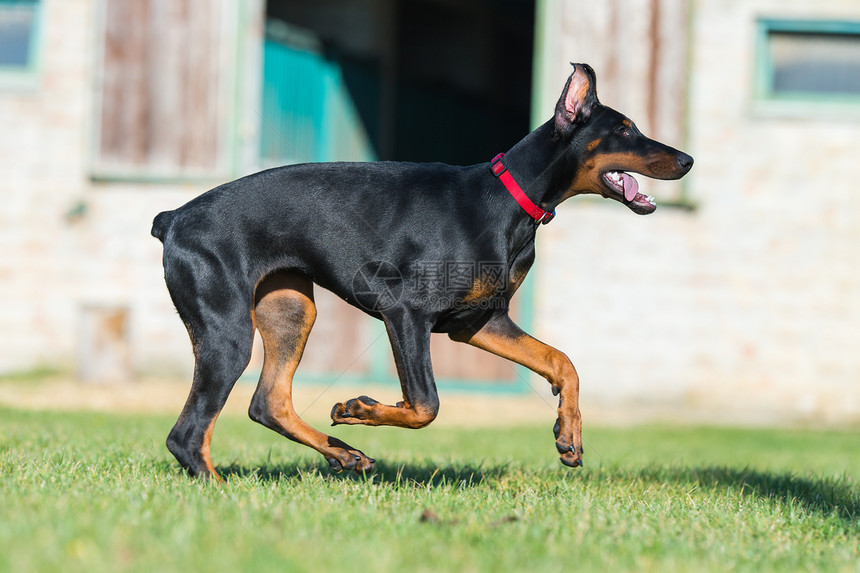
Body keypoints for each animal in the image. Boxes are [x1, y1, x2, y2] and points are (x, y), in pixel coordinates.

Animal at [153, 63, 692, 478]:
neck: (509, 200)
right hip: (227, 330)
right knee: (186, 435)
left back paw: (342, 454)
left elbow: (562, 361)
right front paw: (359, 408)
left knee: (269, 402)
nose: (687, 159)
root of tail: (173, 218)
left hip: (290, 309)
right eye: (623, 129)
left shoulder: (478, 322)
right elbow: (426, 405)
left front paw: (569, 434)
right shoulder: (406, 312)